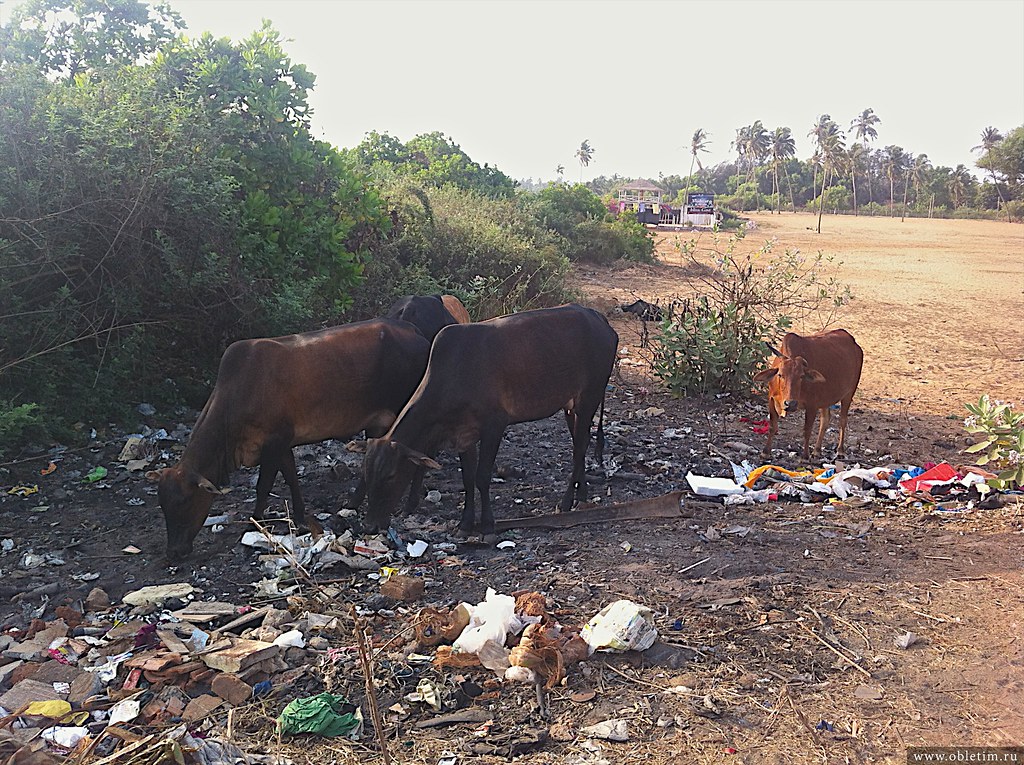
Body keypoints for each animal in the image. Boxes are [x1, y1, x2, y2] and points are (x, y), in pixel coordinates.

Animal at [147, 319, 428, 561]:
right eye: (162, 504)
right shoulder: (282, 445)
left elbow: (263, 486)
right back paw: (355, 502)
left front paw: (256, 521)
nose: (174, 552)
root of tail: (416, 332)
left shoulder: (273, 442)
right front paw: (301, 516)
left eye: (185, 502)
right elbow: (291, 478)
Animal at [362, 303, 614, 536]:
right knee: (580, 443)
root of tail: (598, 318)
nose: (370, 525)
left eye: (390, 475)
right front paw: (465, 523)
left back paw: (567, 501)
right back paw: (582, 494)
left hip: (590, 397)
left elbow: (482, 477)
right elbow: (468, 478)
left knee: (579, 449)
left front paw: (487, 524)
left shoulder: (494, 425)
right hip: (571, 406)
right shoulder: (464, 433)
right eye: (368, 473)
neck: (452, 375)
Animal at [753, 329, 864, 460]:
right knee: (825, 420)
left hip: (849, 393)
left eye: (801, 376)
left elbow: (807, 430)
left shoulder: (812, 405)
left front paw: (805, 456)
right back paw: (816, 450)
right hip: (826, 398)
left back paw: (840, 450)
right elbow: (772, 426)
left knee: (842, 421)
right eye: (780, 374)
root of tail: (854, 343)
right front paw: (765, 452)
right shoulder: (771, 399)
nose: (790, 403)